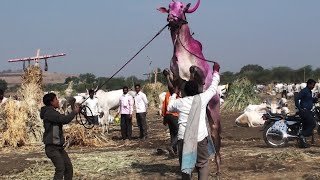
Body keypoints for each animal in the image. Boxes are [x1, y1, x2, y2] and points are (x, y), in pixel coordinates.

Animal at [158, 0, 222, 174]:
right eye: (169, 6)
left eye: (181, 7)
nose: (171, 18)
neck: (182, 50)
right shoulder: (175, 82)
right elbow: (168, 75)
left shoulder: (200, 75)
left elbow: (194, 71)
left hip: (213, 107)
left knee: (215, 133)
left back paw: (218, 166)